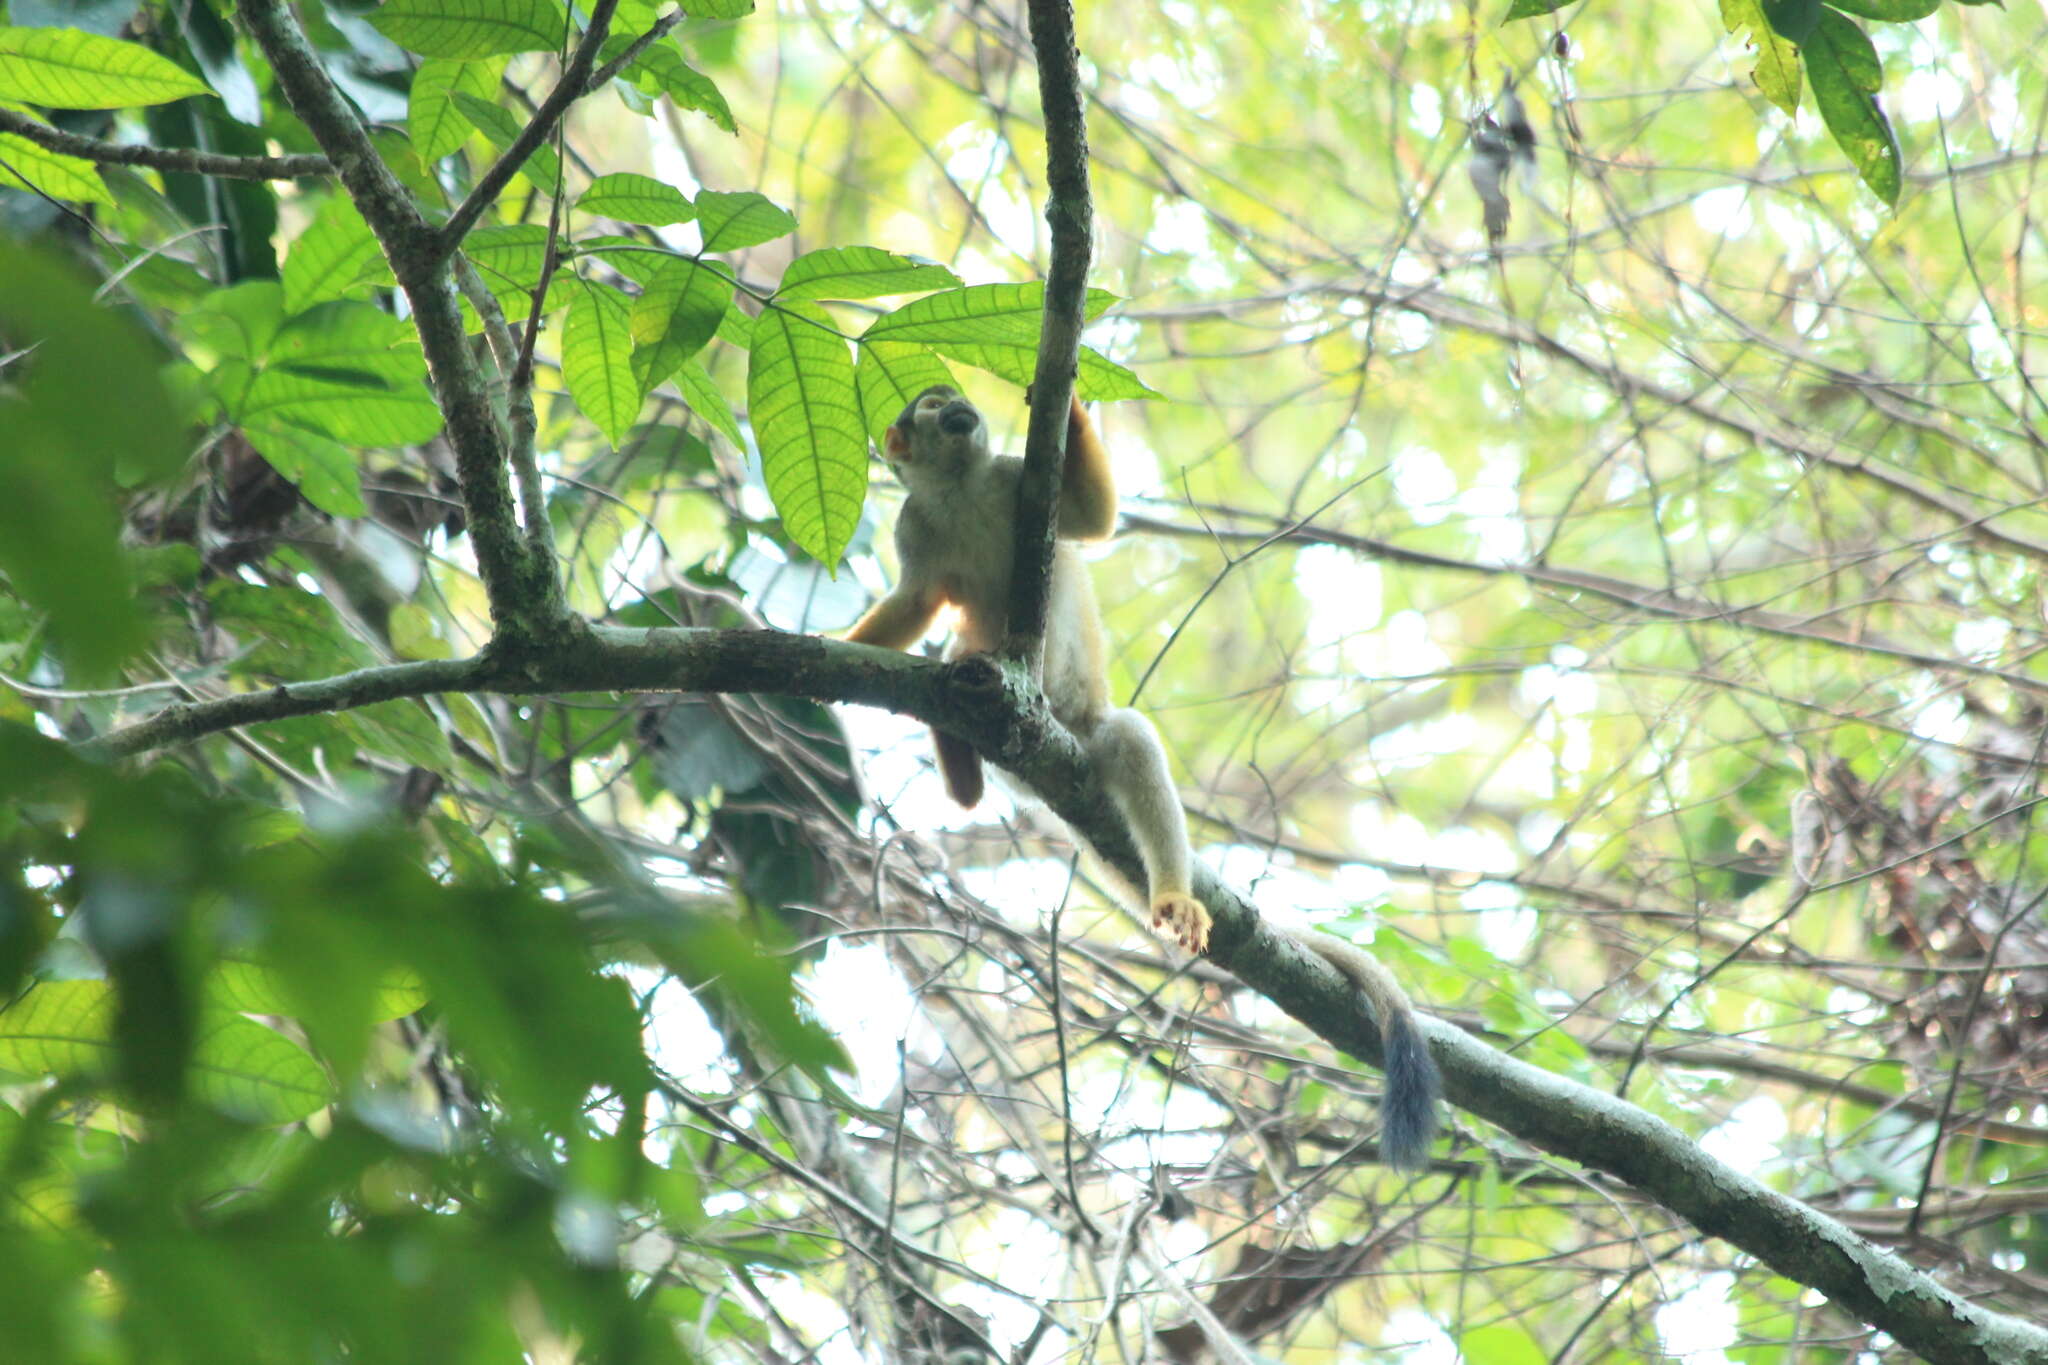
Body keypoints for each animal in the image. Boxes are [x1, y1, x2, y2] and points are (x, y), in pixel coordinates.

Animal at [847, 386, 1441, 1178]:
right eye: (931, 405)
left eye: (951, 400)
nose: (960, 409)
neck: (959, 487)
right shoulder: (914, 525)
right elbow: (915, 601)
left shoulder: (1010, 476)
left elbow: (1089, 521)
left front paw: (1063, 401)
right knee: (969, 663)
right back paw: (961, 754)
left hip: (1084, 735)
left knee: (1126, 741)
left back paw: (1166, 889)